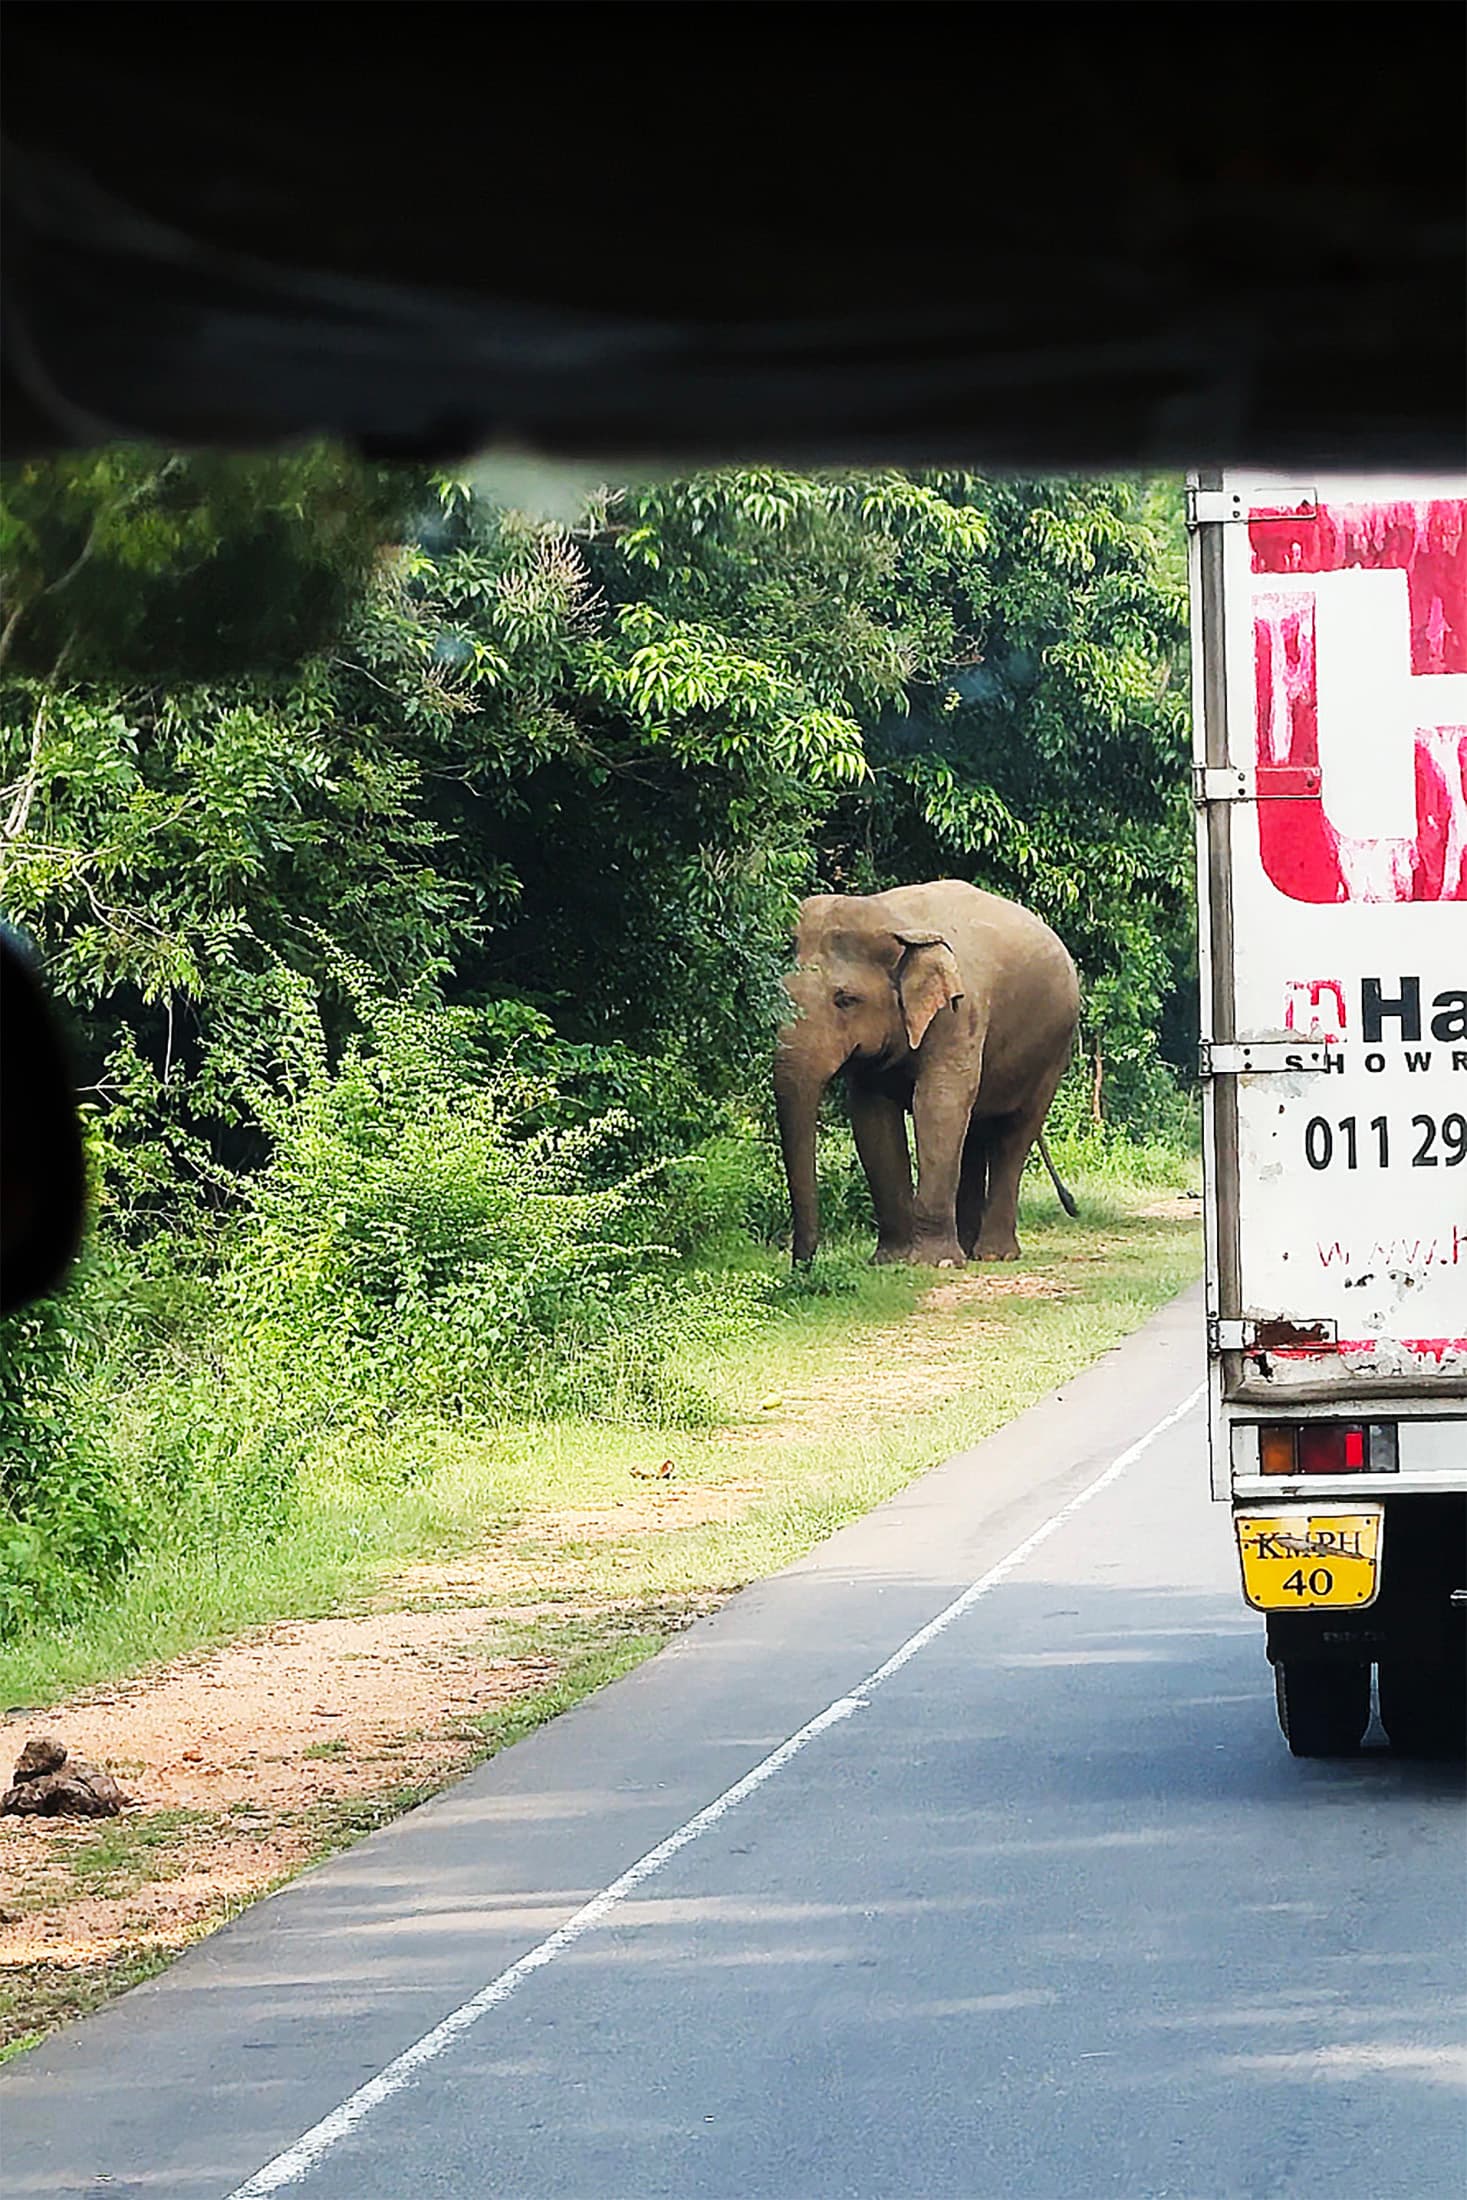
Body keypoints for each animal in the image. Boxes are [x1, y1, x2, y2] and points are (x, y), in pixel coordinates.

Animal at [775, 880, 1080, 1267]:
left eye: (845, 999)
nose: (802, 1266)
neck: (897, 925)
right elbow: (873, 1118)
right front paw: (891, 1259)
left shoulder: (959, 1015)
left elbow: (939, 1105)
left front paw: (934, 1262)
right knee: (974, 1132)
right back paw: (968, 1247)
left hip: (1053, 1051)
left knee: (1016, 1132)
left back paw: (992, 1255)